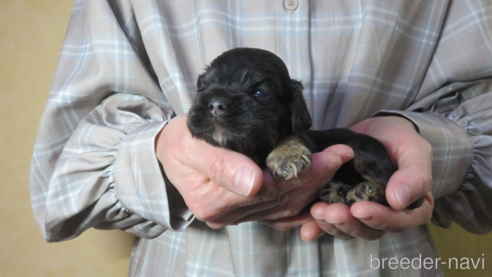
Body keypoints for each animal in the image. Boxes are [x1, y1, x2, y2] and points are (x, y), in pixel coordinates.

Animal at [186, 47, 424, 208]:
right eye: (203, 87)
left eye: (260, 93)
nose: (216, 105)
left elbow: (293, 136)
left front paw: (286, 156)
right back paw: (337, 191)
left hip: (362, 147)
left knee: (388, 187)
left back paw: (365, 192)